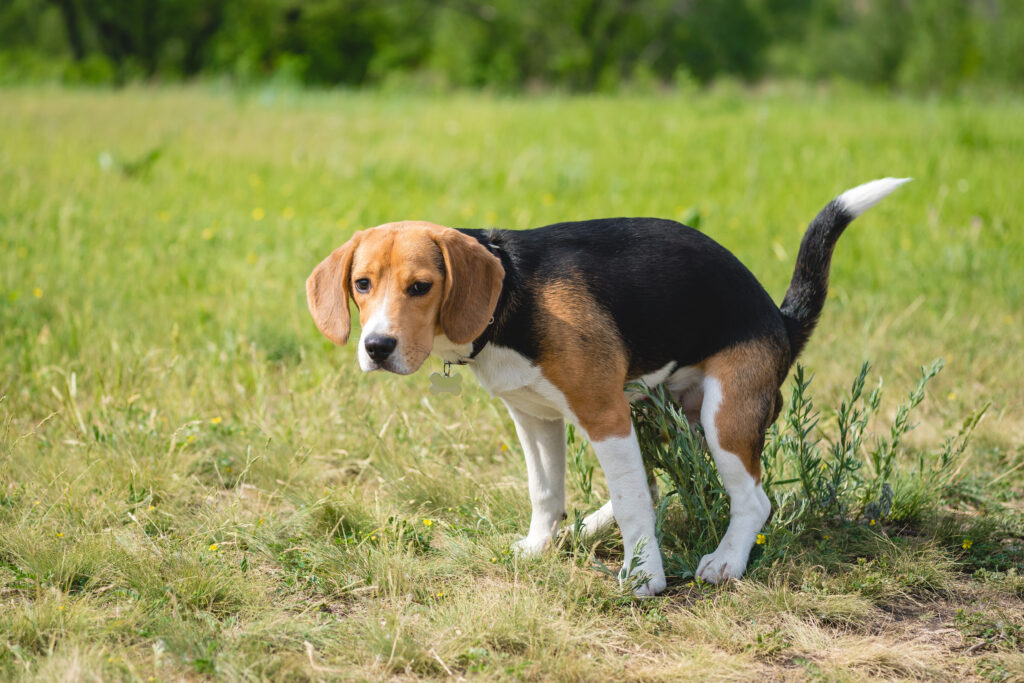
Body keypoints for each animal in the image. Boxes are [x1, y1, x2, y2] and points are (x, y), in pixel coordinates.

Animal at [307, 176, 909, 593]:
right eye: (362, 284)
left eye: (421, 286)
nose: (377, 347)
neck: (511, 296)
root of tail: (781, 320)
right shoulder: (535, 417)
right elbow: (546, 491)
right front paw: (539, 546)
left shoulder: (602, 413)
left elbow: (632, 501)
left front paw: (645, 577)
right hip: (655, 412)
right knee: (657, 483)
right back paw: (589, 527)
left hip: (722, 416)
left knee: (752, 500)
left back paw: (725, 561)